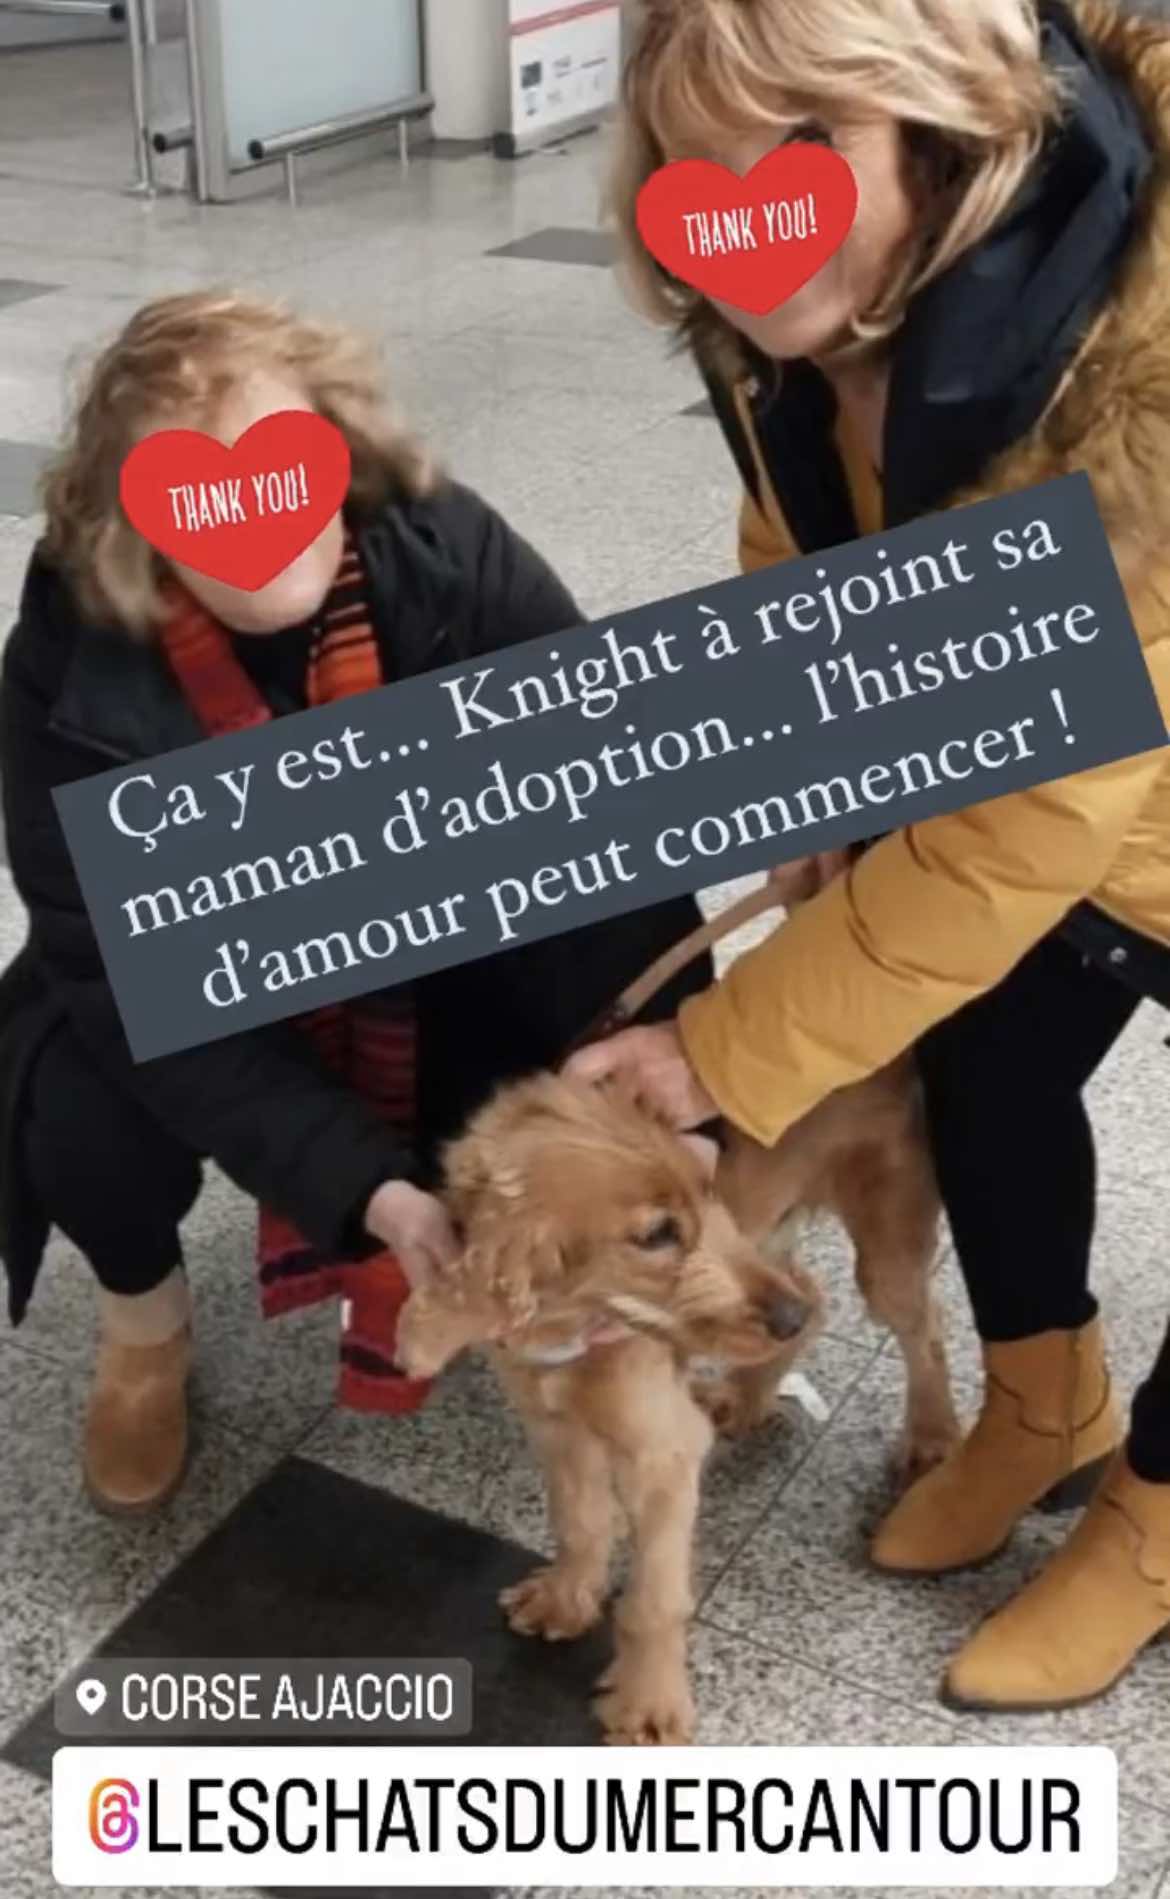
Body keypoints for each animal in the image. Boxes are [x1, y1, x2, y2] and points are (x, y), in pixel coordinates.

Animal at [395, 859, 960, 1744]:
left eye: (703, 1188)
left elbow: (653, 1600)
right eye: (658, 1234)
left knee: (918, 1330)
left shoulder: (663, 1454)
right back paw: (753, 1392)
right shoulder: (557, 1429)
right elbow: (580, 1524)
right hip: (772, 1237)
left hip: (884, 1246)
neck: (576, 1327)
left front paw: (650, 1705)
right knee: (814, 1298)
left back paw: (930, 1437)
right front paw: (566, 1598)